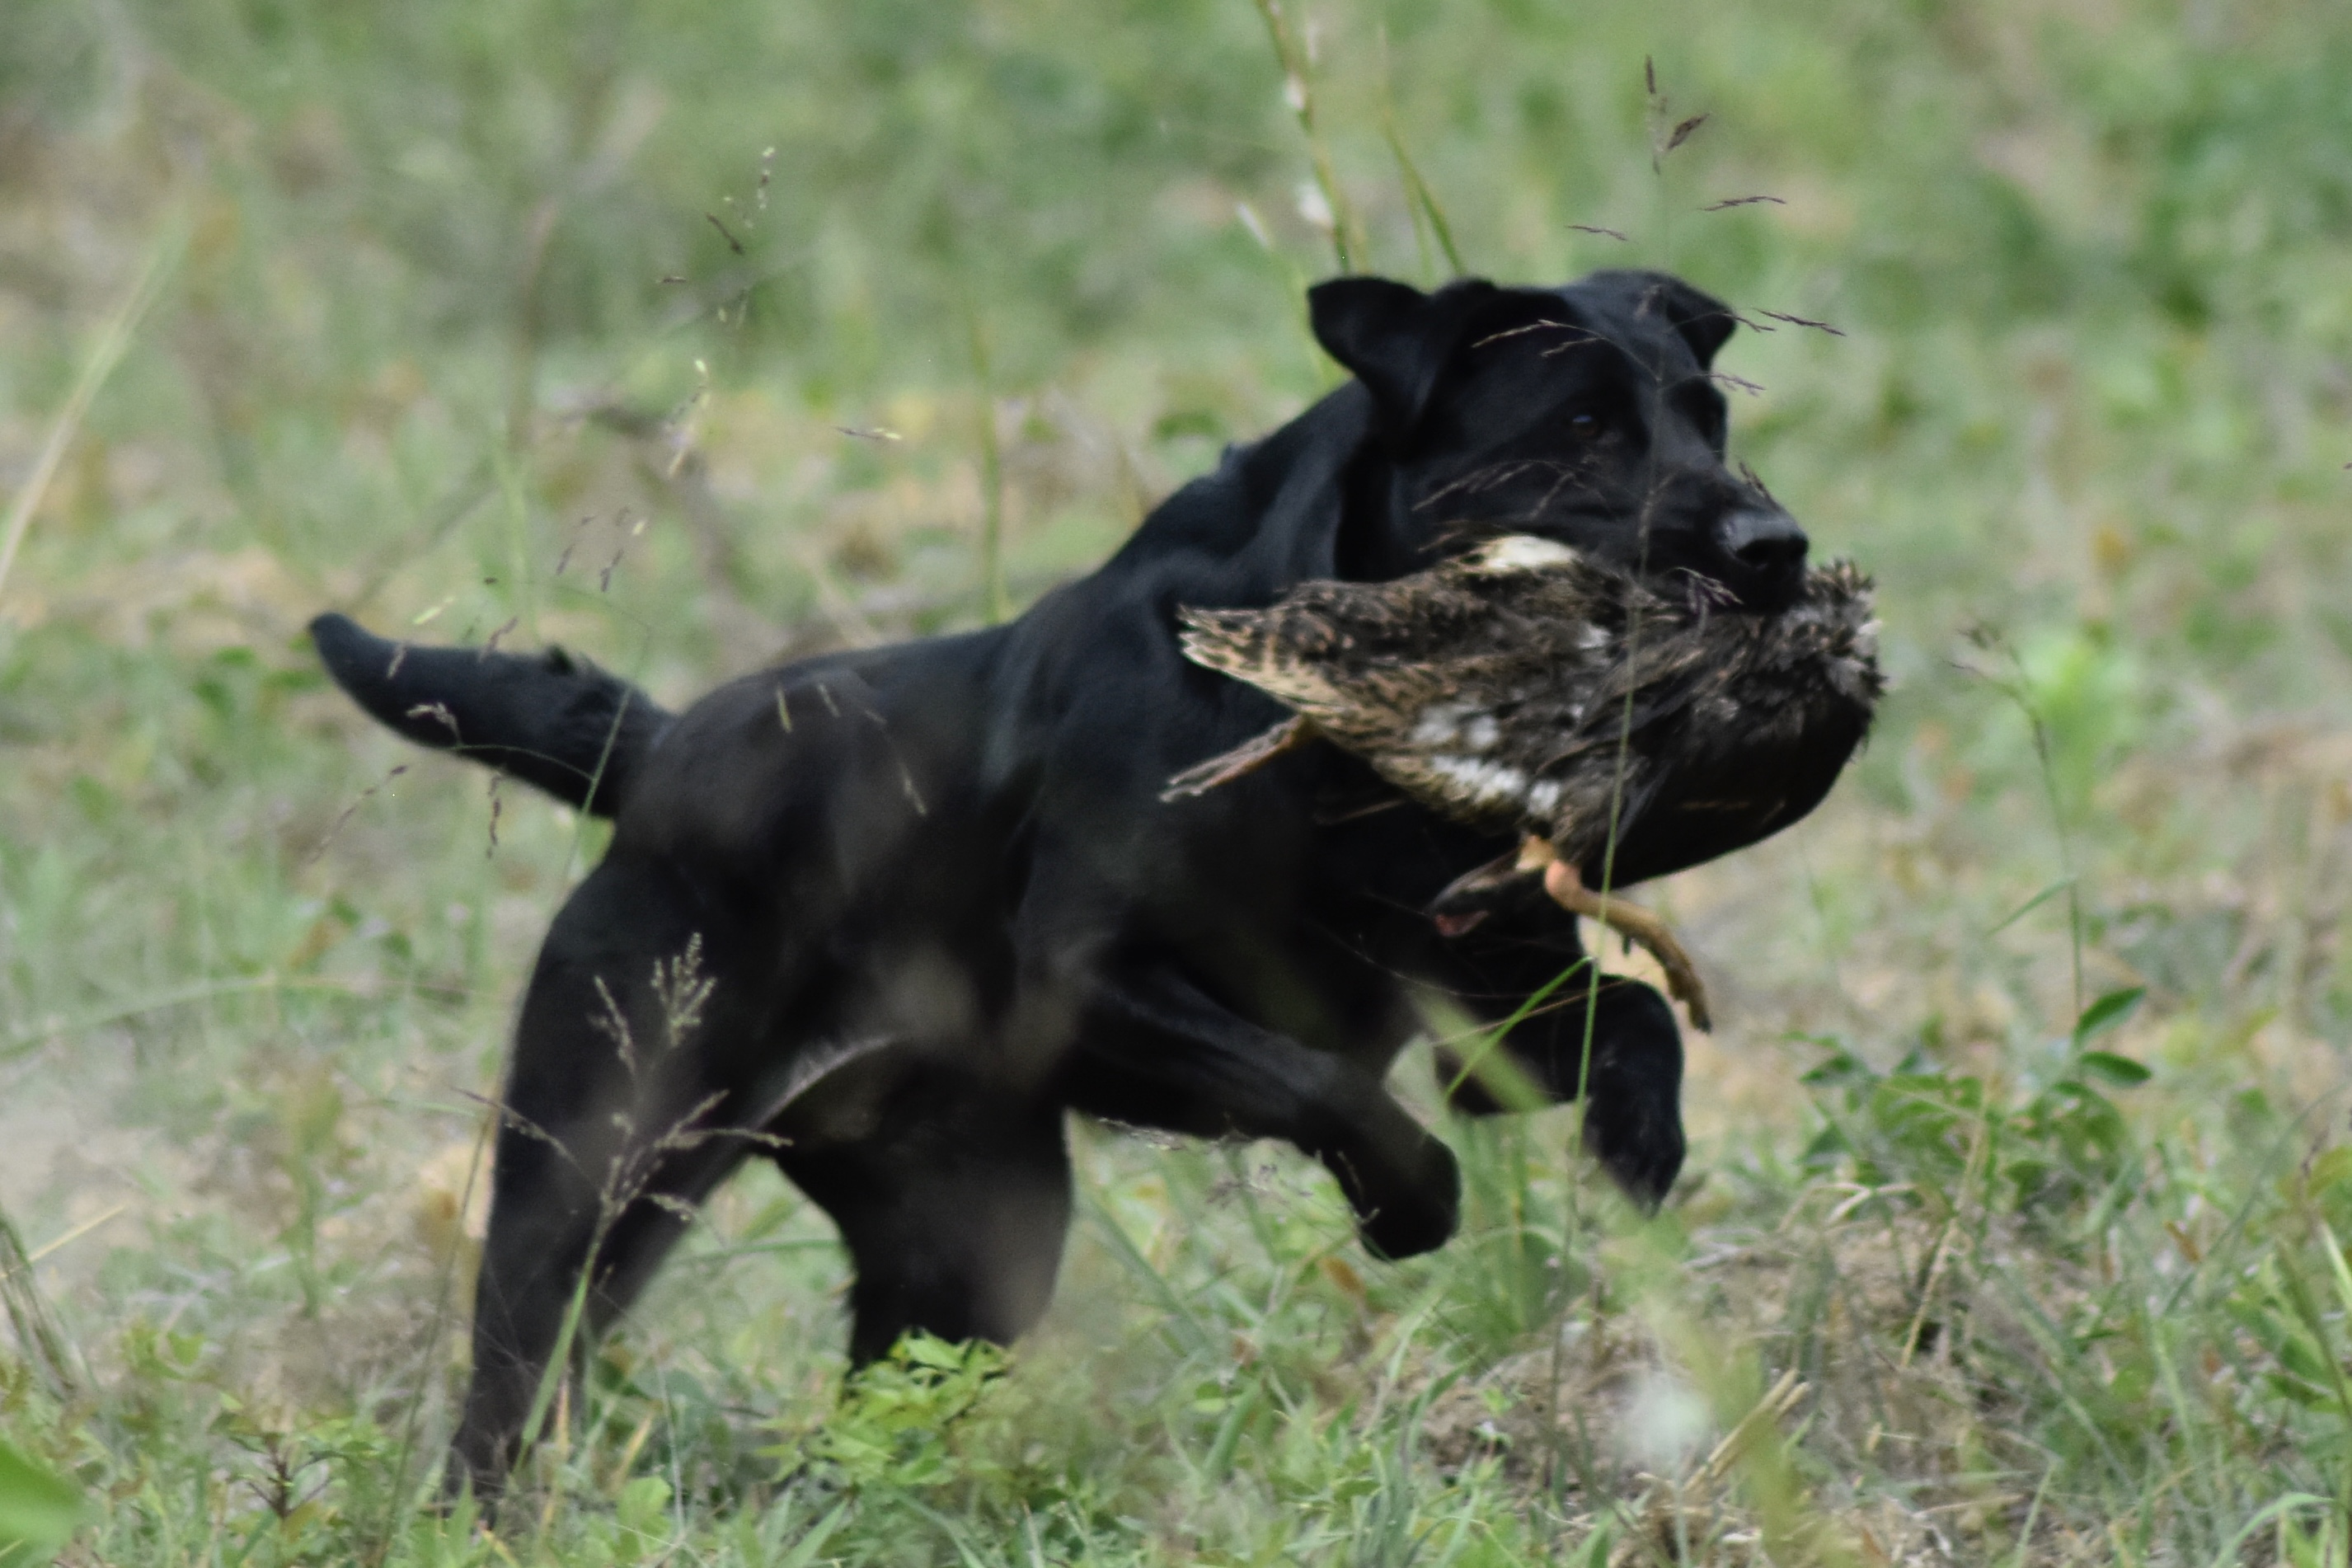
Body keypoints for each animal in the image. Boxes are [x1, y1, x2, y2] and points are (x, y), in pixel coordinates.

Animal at [307, 272, 1796, 1495]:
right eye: (1582, 425)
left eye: (1705, 413)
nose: (1771, 543)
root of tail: (663, 757)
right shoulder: (1092, 979)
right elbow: (1330, 1089)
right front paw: (1408, 1203)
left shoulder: (1490, 991)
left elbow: (1633, 1021)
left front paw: (1639, 1149)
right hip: (597, 1167)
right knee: (510, 1383)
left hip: (972, 1242)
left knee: (876, 1413)